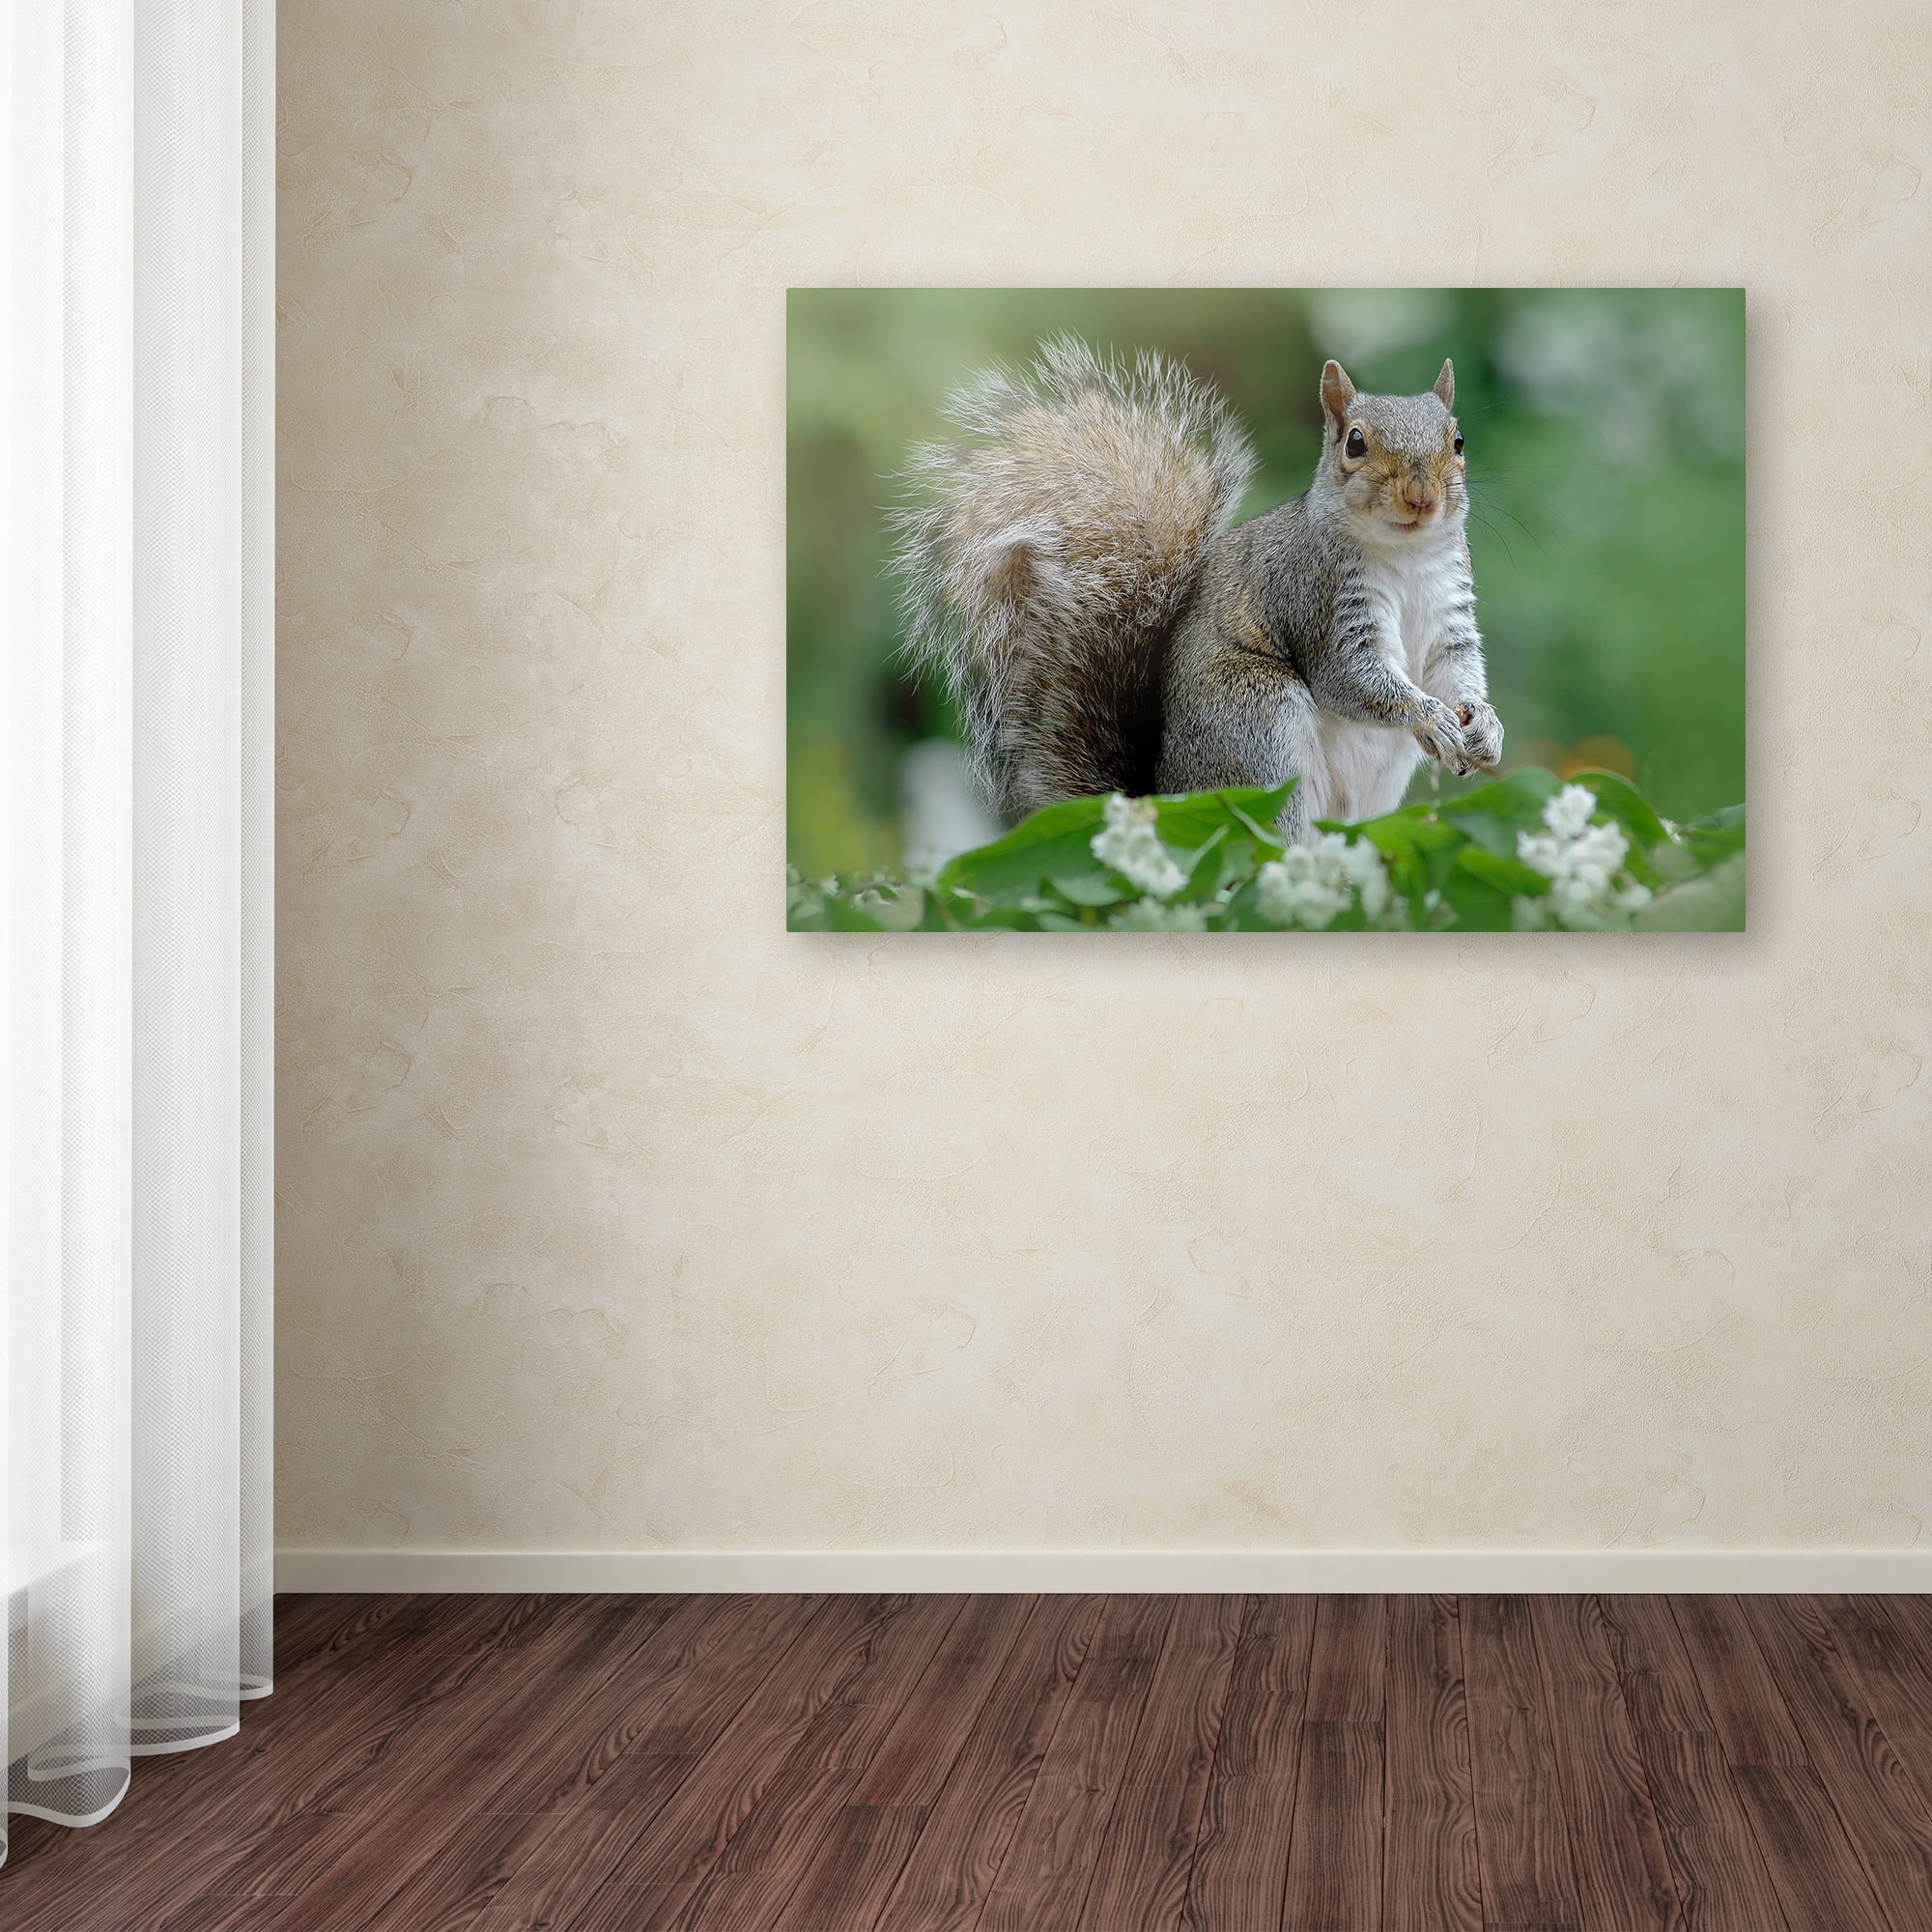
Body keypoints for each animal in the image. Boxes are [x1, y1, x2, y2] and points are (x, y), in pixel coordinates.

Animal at [891, 335, 1502, 845]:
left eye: (1458, 439)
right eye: (1355, 442)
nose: (1421, 497)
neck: (1405, 558)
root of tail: (1164, 799)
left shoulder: (1449, 614)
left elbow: (1456, 669)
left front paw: (1484, 726)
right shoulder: (1316, 600)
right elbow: (1353, 679)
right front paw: (1431, 717)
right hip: (1257, 727)